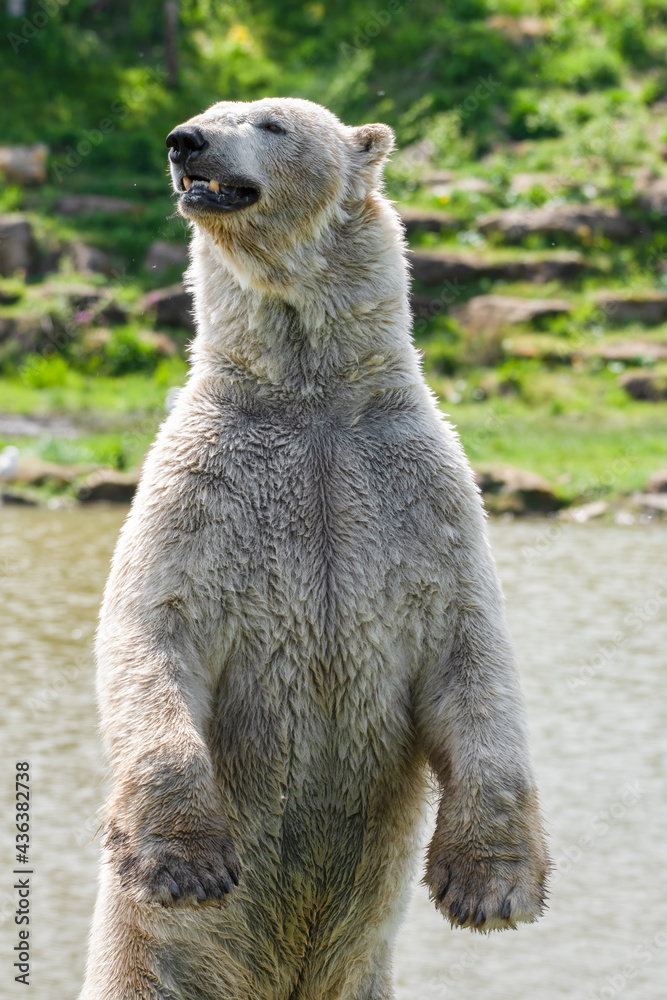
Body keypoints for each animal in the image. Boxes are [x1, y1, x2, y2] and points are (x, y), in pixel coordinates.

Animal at [80, 97, 550, 1000]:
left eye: (268, 123)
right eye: (206, 115)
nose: (185, 142)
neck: (309, 400)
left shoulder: (417, 492)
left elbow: (470, 653)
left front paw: (491, 884)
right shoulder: (201, 489)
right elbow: (152, 630)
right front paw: (187, 862)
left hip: (363, 977)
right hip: (143, 965)